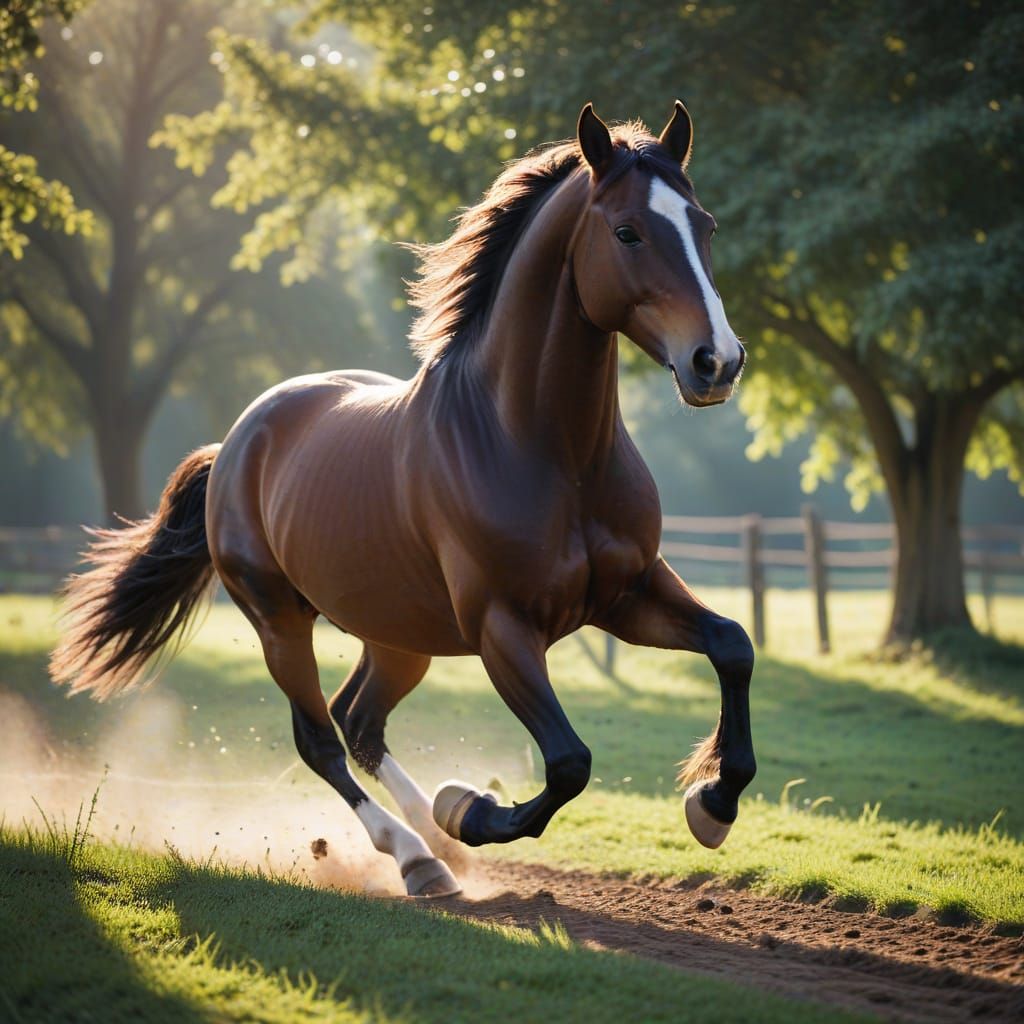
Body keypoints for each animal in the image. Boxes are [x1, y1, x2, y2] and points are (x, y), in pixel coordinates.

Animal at [51, 102, 756, 898]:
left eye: (704, 225)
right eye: (629, 231)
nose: (717, 361)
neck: (544, 452)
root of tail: (235, 441)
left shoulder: (628, 593)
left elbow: (733, 645)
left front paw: (713, 804)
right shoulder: (503, 628)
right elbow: (569, 764)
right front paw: (471, 811)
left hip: (396, 634)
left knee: (359, 721)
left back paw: (434, 843)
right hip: (279, 622)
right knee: (321, 740)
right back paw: (420, 854)